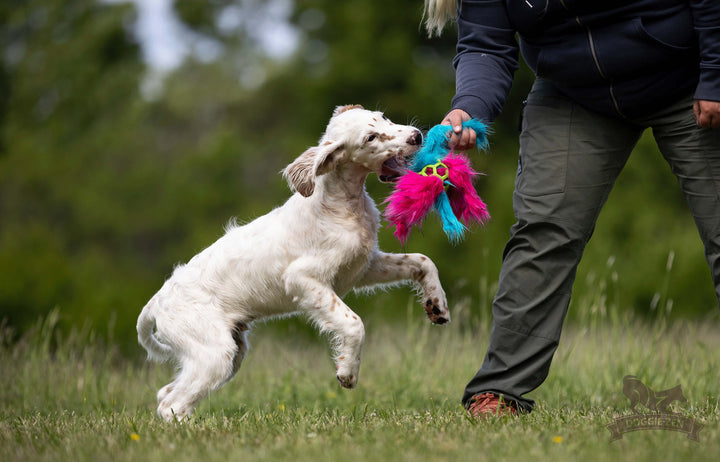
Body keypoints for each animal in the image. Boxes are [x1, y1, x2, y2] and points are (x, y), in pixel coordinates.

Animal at [136, 104, 450, 422]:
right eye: (370, 138)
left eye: (383, 117)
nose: (416, 135)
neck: (342, 205)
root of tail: (157, 302)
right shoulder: (304, 278)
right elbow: (354, 323)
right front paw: (347, 372)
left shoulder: (364, 267)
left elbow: (423, 261)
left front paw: (437, 305)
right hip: (215, 353)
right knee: (171, 404)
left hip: (230, 352)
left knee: (167, 392)